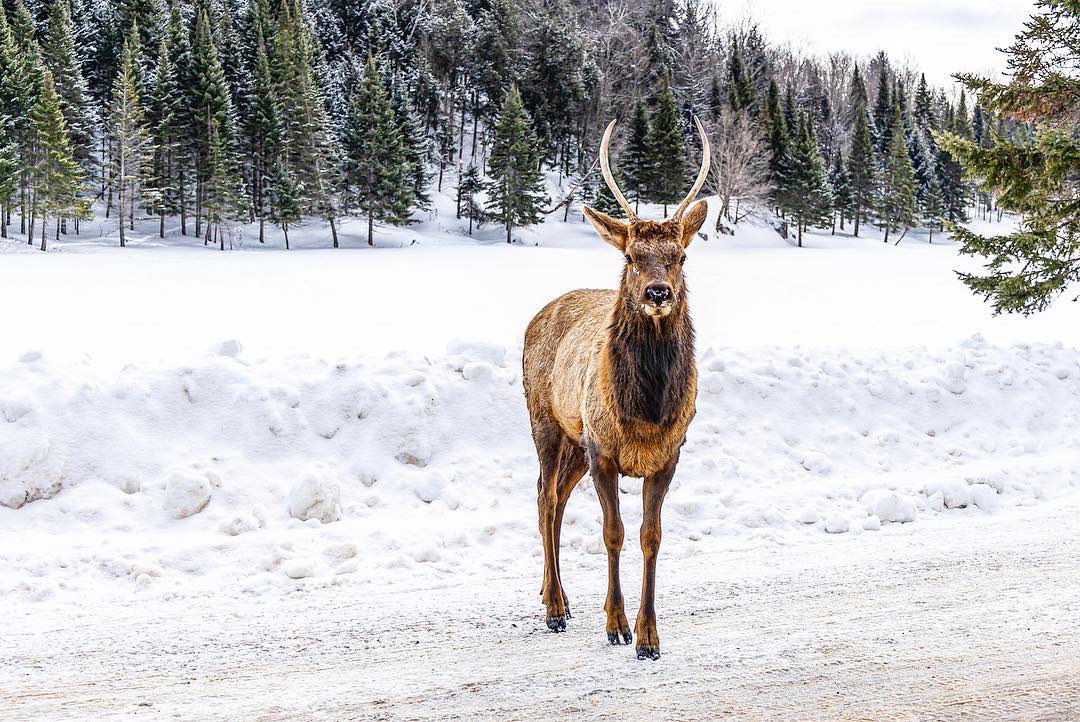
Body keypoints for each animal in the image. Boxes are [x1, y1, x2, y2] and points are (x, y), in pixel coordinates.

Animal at [522, 116, 710, 660]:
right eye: (630, 255)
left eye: (682, 255)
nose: (657, 292)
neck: (646, 410)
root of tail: (537, 316)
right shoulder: (602, 449)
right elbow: (613, 533)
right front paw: (616, 624)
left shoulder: (668, 455)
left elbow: (651, 536)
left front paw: (649, 637)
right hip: (546, 422)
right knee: (544, 498)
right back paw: (554, 608)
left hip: (573, 442)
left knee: (555, 502)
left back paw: (557, 595)